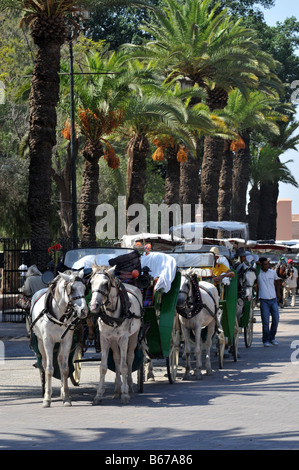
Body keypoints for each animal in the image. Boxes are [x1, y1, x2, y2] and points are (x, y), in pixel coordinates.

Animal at [30, 272, 88, 408]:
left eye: (84, 288)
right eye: (72, 289)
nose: (84, 311)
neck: (59, 316)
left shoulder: (67, 340)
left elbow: (65, 368)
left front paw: (66, 397)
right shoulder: (48, 340)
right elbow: (49, 369)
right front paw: (47, 399)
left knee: (60, 361)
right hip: (40, 342)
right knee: (44, 364)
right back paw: (46, 390)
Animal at [89, 264, 143, 404]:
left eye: (106, 283)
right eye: (91, 282)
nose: (93, 305)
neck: (112, 314)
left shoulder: (124, 339)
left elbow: (124, 366)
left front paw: (125, 395)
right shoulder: (104, 339)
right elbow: (103, 367)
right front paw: (99, 395)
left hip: (133, 337)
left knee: (129, 358)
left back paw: (129, 388)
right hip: (113, 341)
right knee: (117, 359)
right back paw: (117, 390)